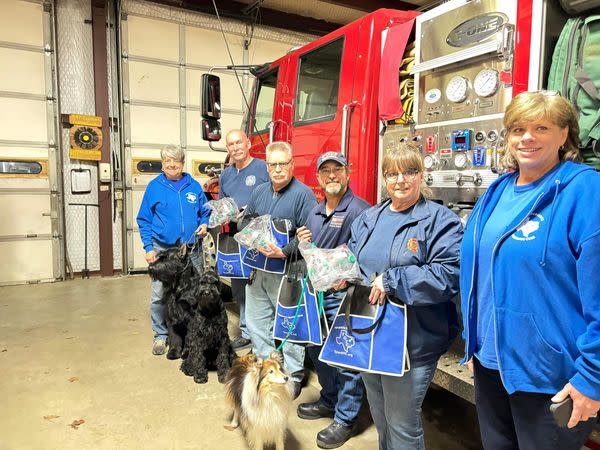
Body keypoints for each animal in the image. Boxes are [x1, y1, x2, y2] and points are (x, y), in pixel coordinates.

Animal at [148, 246, 237, 384]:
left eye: (166, 258)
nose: (150, 267)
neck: (180, 287)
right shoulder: (172, 315)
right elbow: (174, 336)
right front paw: (174, 352)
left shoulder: (191, 318)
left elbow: (190, 339)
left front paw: (186, 353)